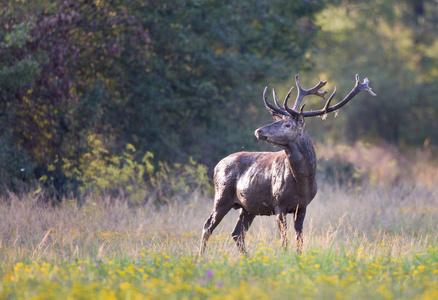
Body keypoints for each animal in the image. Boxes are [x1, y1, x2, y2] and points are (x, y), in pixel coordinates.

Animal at [200, 74, 374, 254]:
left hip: (248, 207)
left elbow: (299, 238)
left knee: (237, 233)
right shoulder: (279, 204)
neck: (302, 182)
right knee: (208, 226)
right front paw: (285, 255)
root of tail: (217, 165)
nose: (258, 131)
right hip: (222, 196)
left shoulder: (302, 206)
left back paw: (246, 257)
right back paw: (201, 256)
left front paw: (298, 256)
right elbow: (284, 240)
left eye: (287, 124)